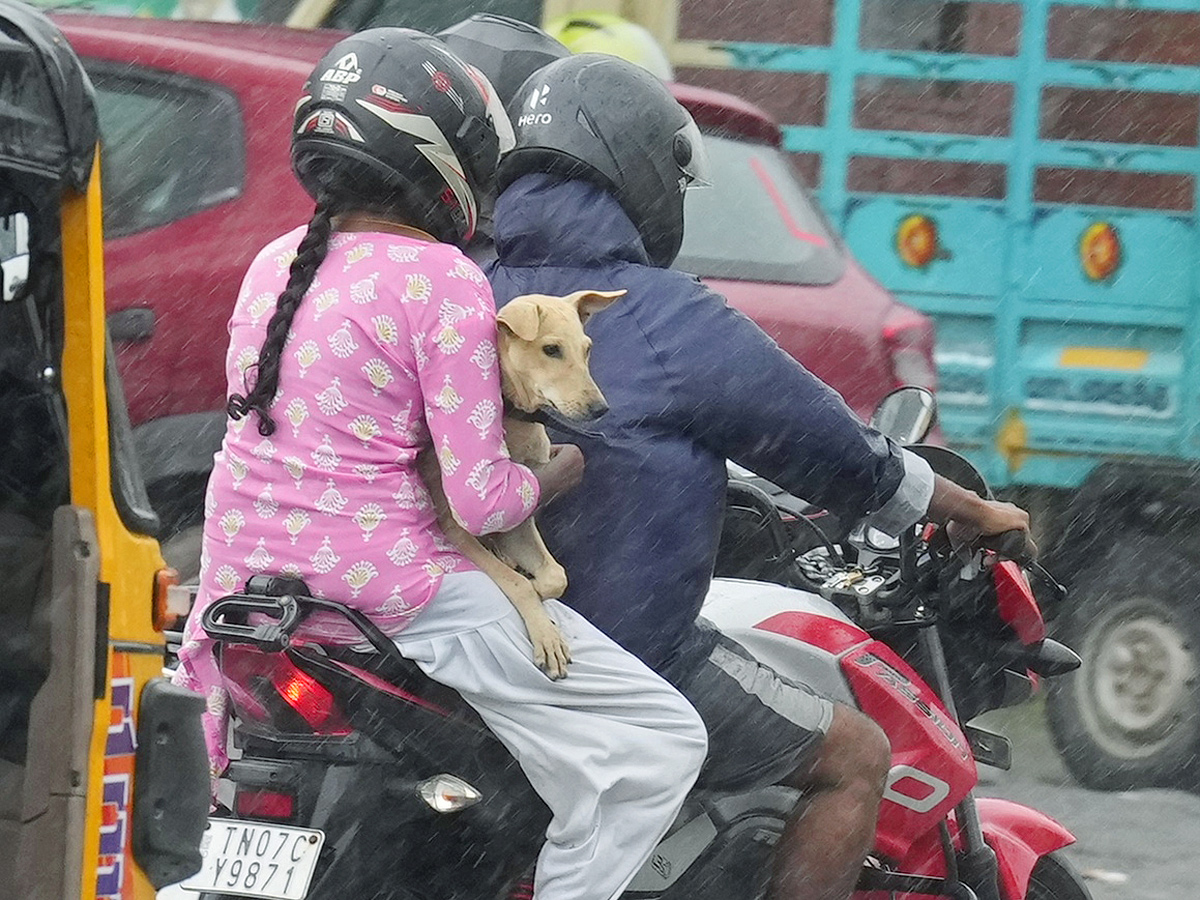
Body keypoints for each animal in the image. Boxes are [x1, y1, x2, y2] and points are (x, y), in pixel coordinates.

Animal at [417, 292, 624, 681]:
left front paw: (540, 589)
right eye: (551, 349)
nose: (600, 409)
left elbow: (556, 576)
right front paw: (545, 633)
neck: (513, 418)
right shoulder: (456, 527)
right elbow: (517, 584)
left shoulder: (519, 519)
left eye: (587, 349)